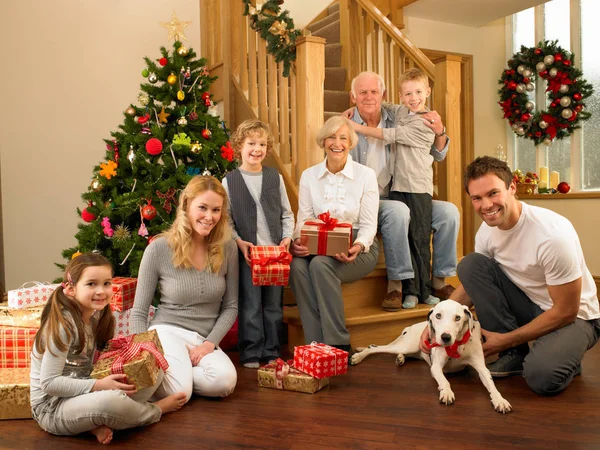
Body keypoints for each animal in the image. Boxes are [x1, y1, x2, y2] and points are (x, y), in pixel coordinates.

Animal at [352, 300, 510, 414]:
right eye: (438, 315)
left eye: (458, 318)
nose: (445, 337)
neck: (456, 345)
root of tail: (409, 327)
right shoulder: (436, 367)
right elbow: (444, 380)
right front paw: (446, 391)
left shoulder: (482, 368)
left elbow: (491, 384)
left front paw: (500, 400)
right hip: (406, 345)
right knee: (374, 347)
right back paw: (358, 357)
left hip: (413, 350)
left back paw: (400, 359)